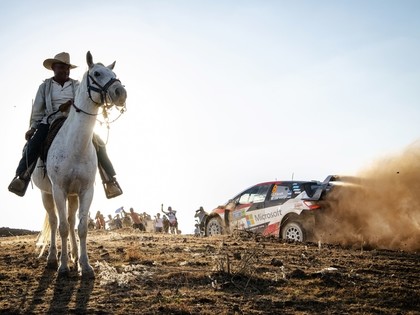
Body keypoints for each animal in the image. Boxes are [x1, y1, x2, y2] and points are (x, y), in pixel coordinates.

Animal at [32, 50, 126, 278]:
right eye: (97, 73)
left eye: (114, 73)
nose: (121, 92)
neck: (75, 145)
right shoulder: (59, 190)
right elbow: (63, 227)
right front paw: (63, 267)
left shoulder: (85, 191)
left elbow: (82, 227)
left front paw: (85, 265)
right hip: (46, 194)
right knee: (55, 222)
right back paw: (53, 258)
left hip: (72, 196)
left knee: (72, 219)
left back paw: (75, 257)